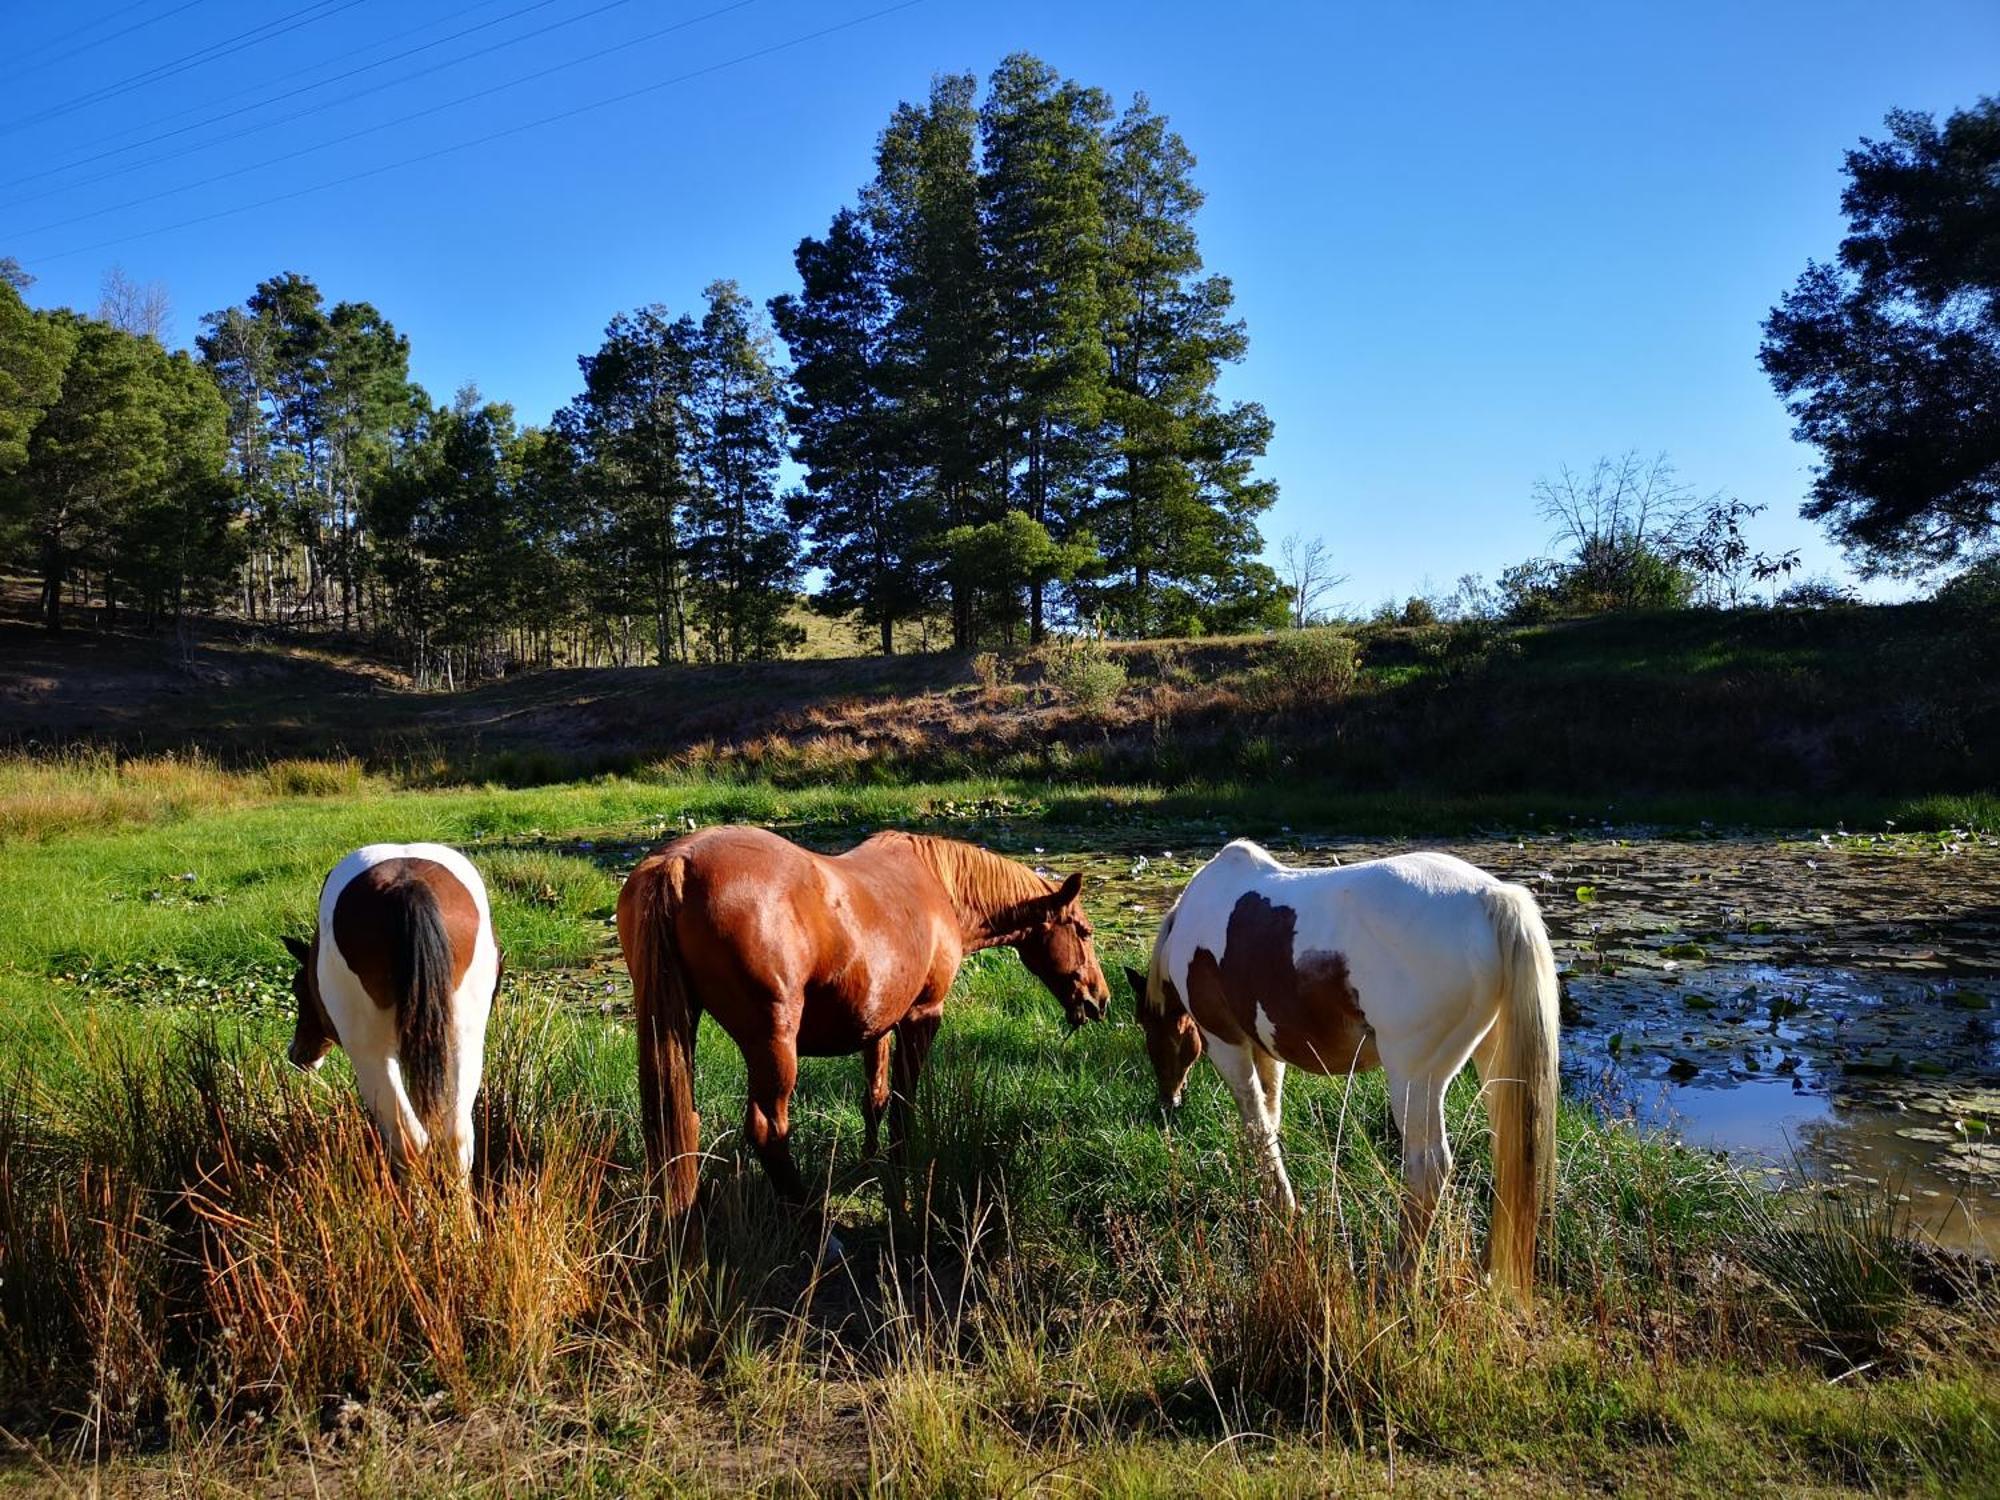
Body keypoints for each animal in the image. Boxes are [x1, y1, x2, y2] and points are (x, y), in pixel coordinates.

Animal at [282, 848, 500, 1176]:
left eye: (298, 988)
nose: (297, 1054)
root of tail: (406, 885)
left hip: (372, 1057)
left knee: (410, 1142)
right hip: (462, 1043)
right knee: (455, 1139)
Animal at [616, 824, 1112, 1232]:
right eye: (1085, 932)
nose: (1100, 999)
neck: (938, 888)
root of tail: (678, 864)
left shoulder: (878, 1025)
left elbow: (874, 1099)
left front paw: (868, 1166)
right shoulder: (922, 1016)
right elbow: (902, 1106)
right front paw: (899, 1179)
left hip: (678, 1028)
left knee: (680, 1122)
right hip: (773, 1043)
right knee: (768, 1130)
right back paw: (812, 1223)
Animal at [1128, 840, 1560, 1312]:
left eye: (1148, 1026)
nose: (1168, 1100)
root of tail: (1490, 897)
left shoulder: (1227, 1043)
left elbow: (1254, 1121)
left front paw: (1280, 1205)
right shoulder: (1266, 1047)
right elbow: (1269, 1120)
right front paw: (1270, 1196)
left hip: (1414, 1079)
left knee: (1428, 1171)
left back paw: (1397, 1280)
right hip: (1492, 1064)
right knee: (1508, 1152)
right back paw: (1484, 1271)